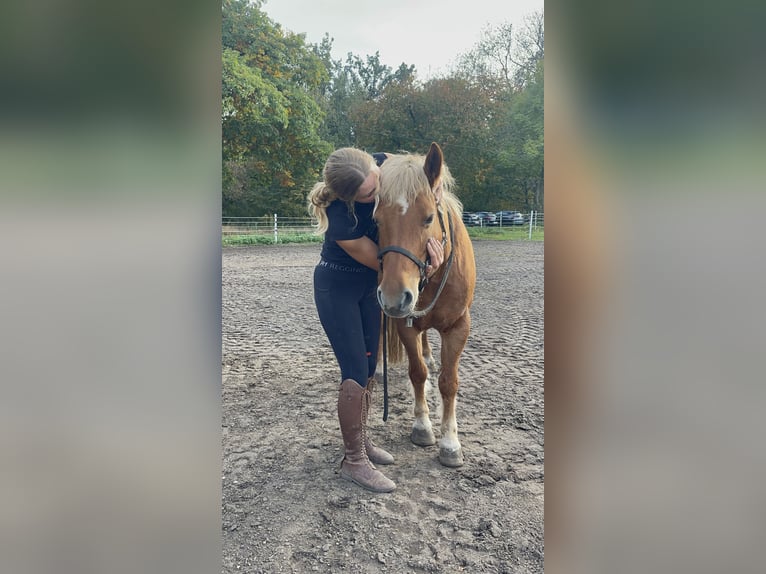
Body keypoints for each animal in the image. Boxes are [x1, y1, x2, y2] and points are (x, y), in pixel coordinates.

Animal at [376, 143, 476, 468]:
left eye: (429, 218)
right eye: (376, 220)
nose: (395, 297)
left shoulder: (458, 327)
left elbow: (449, 381)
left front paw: (450, 442)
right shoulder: (404, 324)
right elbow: (417, 372)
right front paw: (422, 427)